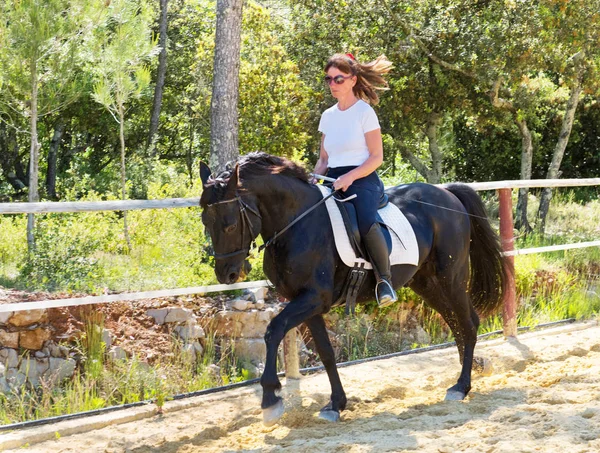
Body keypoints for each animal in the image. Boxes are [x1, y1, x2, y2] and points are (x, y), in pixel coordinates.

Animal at [199, 152, 508, 424]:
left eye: (229, 225)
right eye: (205, 221)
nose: (227, 273)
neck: (297, 223)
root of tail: (447, 193)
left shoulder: (314, 298)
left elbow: (273, 330)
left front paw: (271, 400)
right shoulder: (306, 302)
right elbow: (325, 352)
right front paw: (336, 404)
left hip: (451, 277)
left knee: (468, 323)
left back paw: (461, 386)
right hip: (427, 283)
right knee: (456, 322)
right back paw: (473, 369)